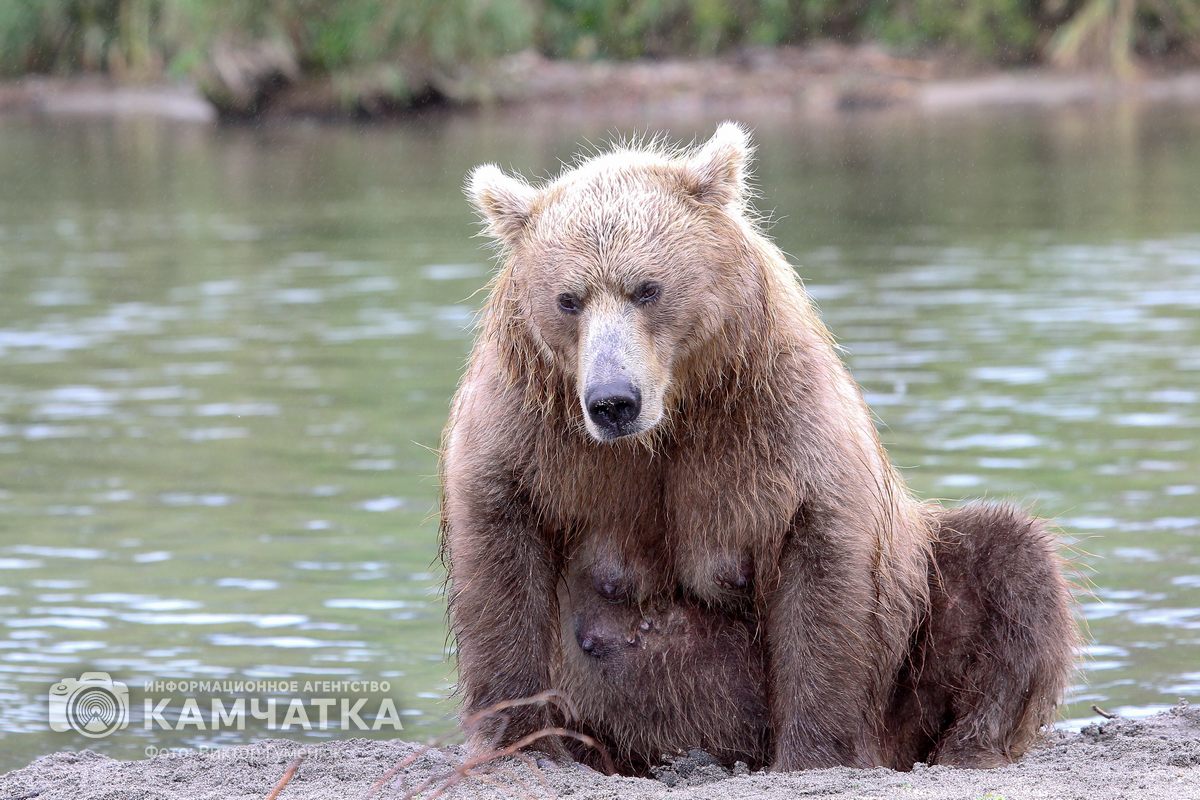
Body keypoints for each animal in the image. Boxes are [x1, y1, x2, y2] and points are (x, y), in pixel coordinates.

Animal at [441, 123, 1080, 777]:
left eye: (647, 288)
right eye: (568, 298)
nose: (612, 400)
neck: (674, 415)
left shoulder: (774, 417)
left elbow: (822, 570)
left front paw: (811, 752)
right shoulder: (532, 429)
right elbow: (499, 561)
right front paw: (520, 743)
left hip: (915, 647)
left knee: (1009, 556)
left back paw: (968, 744)